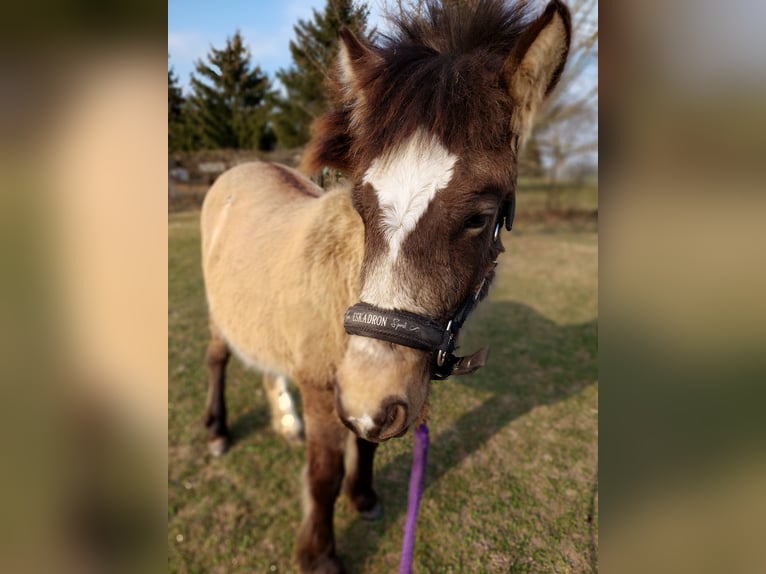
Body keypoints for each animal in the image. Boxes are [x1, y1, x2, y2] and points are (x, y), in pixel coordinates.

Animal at [198, 2, 568, 572]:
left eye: (480, 218)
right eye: (361, 202)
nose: (372, 394)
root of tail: (239, 171)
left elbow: (367, 443)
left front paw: (365, 497)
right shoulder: (328, 389)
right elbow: (324, 473)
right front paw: (318, 553)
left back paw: (284, 420)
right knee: (218, 357)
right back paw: (218, 431)